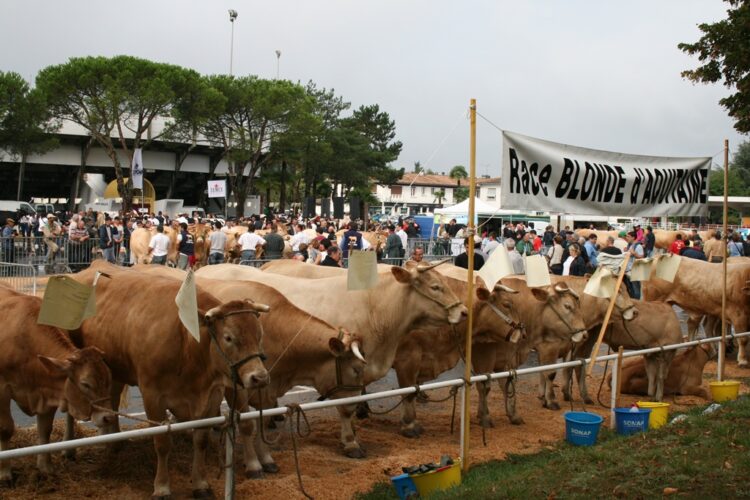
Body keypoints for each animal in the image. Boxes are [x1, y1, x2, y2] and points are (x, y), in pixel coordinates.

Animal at [0, 284, 114, 482]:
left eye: (109, 378)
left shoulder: (48, 390)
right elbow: (6, 428)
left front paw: (45, 467)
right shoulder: (2, 388)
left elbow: (45, 429)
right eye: (85, 384)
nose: (108, 417)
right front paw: (5, 473)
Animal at [70, 264, 270, 498]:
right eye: (228, 337)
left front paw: (200, 483)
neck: (187, 343)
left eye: (260, 334)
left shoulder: (211, 395)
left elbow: (200, 440)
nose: (259, 377)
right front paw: (162, 487)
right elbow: (162, 442)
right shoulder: (152, 395)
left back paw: (115, 441)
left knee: (113, 396)